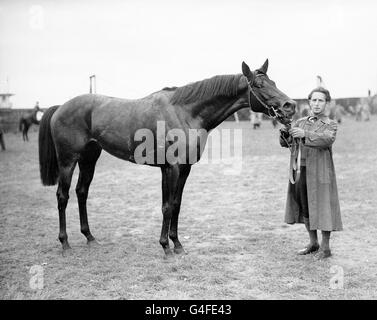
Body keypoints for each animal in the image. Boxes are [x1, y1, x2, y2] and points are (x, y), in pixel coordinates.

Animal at [39, 58, 296, 256]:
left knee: (82, 192)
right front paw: (165, 247)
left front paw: (177, 245)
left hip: (89, 159)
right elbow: (168, 207)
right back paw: (65, 244)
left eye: (273, 82)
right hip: (68, 161)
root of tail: (60, 107)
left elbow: (175, 205)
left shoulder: (182, 168)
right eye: (259, 85)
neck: (184, 113)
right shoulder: (171, 168)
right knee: (62, 196)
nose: (290, 105)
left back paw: (90, 238)